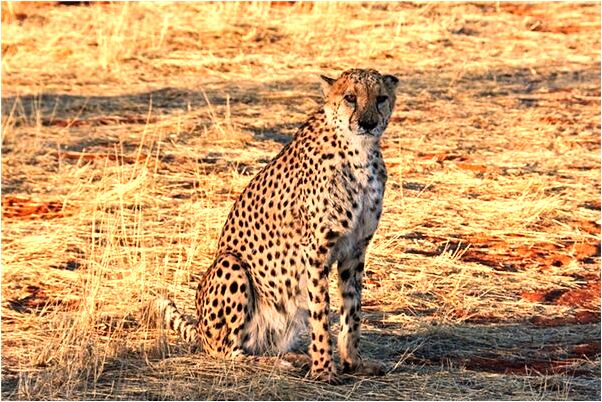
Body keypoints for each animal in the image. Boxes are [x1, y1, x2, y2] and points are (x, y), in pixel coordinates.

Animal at [155, 69, 396, 384]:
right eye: (350, 97)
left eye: (381, 98)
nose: (368, 123)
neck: (359, 152)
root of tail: (200, 333)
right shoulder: (316, 249)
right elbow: (321, 312)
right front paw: (324, 369)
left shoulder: (355, 249)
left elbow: (352, 310)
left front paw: (353, 362)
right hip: (230, 264)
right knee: (227, 352)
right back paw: (278, 364)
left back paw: (295, 357)